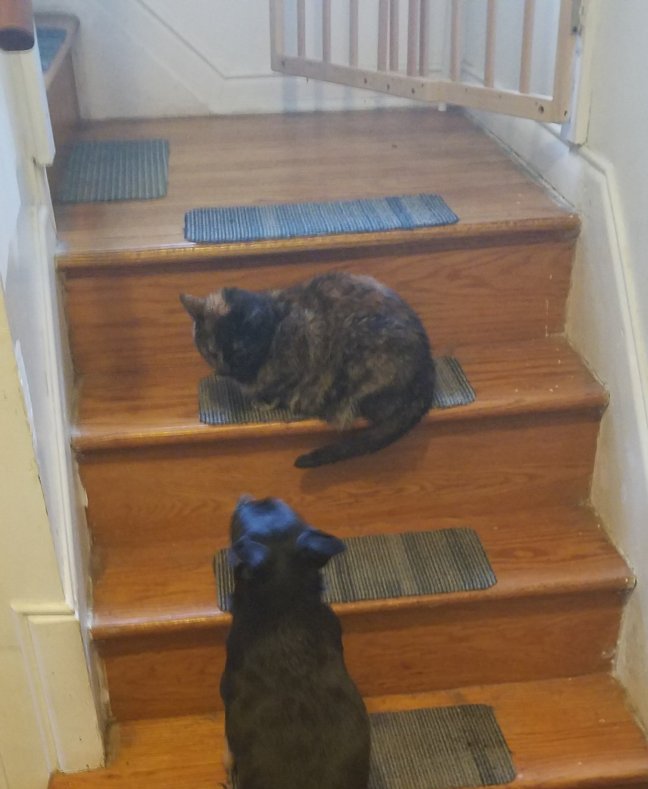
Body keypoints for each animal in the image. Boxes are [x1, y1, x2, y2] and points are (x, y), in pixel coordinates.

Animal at [180, 271, 435, 468]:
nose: (223, 369)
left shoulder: (305, 340)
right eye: (212, 352)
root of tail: (427, 375)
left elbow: (281, 386)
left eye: (240, 352)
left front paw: (265, 401)